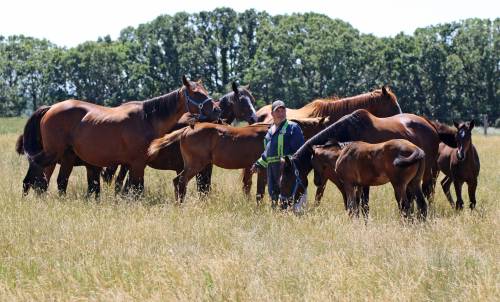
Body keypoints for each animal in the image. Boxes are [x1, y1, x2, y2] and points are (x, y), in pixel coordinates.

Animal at [21, 75, 217, 196]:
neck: (147, 119)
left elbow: (128, 188)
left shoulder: (131, 164)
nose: (216, 109)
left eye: (205, 91)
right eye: (197, 93)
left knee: (57, 181)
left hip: (65, 156)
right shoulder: (137, 164)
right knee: (34, 172)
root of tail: (51, 108)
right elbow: (137, 189)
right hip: (53, 153)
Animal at [278, 108, 458, 210]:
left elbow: (362, 205)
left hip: (428, 172)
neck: (348, 131)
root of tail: (430, 124)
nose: (283, 206)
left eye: (286, 181)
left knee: (428, 193)